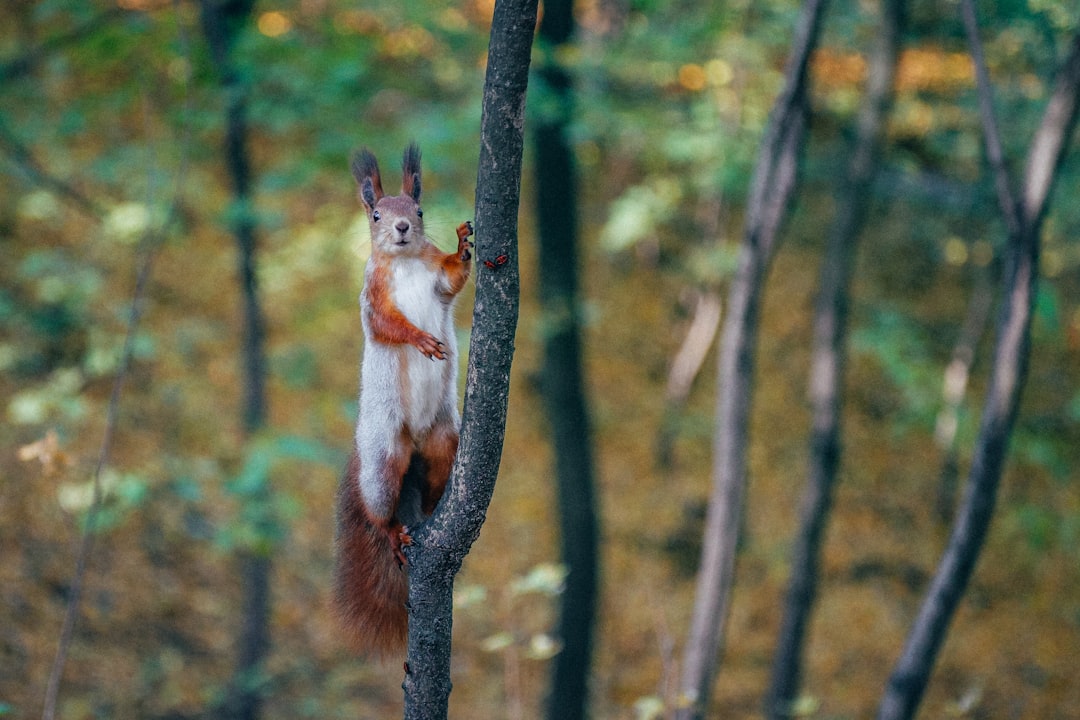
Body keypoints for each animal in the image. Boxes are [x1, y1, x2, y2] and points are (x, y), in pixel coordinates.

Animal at [332, 143, 473, 656]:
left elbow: (453, 280)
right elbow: (388, 325)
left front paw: (463, 243)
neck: (408, 262)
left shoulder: (436, 278)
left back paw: (432, 512)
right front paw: (421, 340)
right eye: (375, 214)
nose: (401, 228)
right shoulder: (372, 298)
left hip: (442, 440)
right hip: (385, 456)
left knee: (434, 477)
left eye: (419, 209)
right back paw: (392, 529)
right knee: (380, 510)